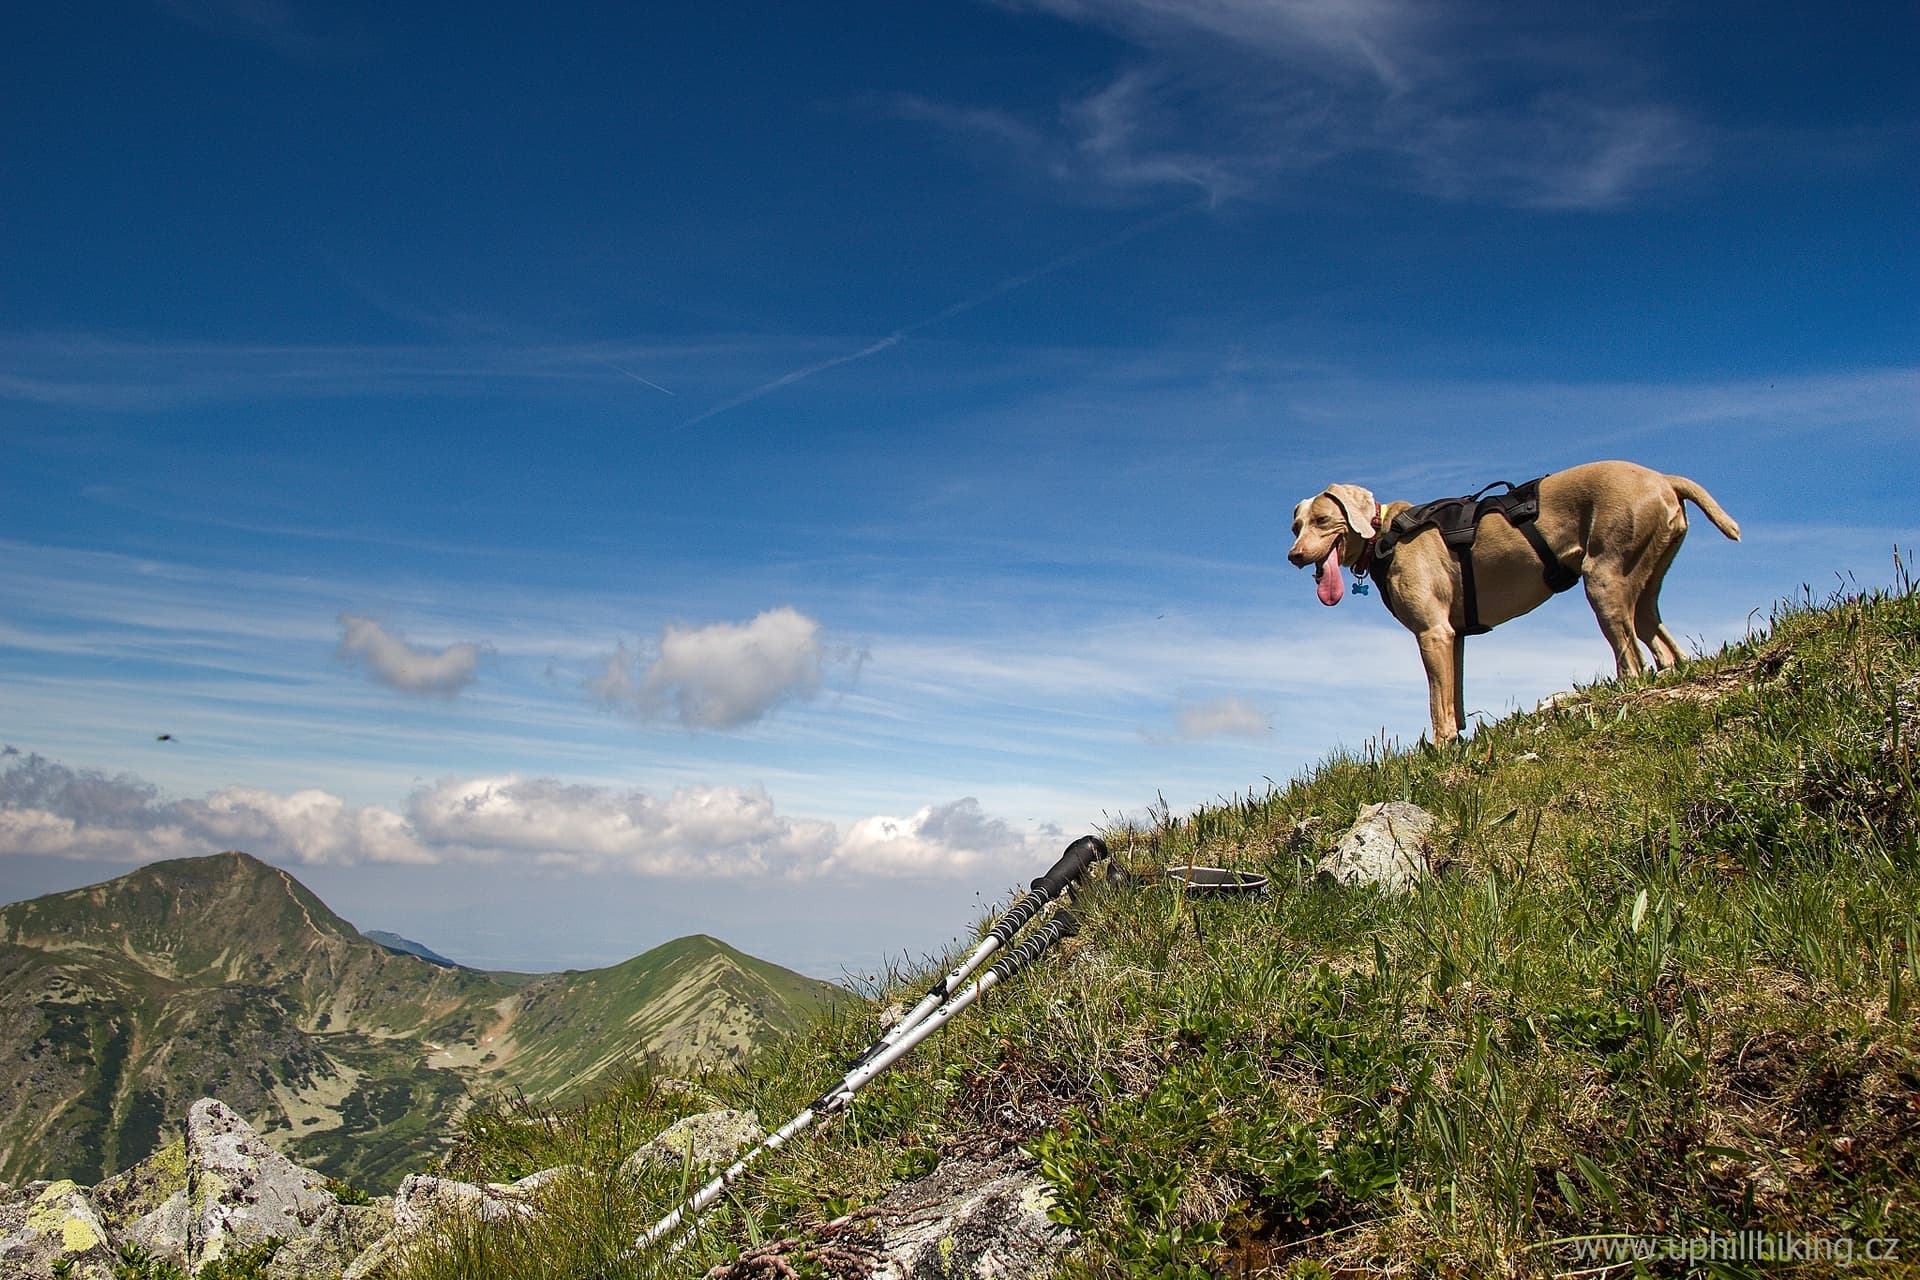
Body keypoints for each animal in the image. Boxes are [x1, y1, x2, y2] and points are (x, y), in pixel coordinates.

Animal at [1290, 460, 1743, 740]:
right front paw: (1457, 744)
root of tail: (1662, 477)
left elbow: (1437, 705)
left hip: (1603, 581)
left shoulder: (1432, 632)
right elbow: (1453, 699)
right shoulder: (1453, 636)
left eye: (1323, 520)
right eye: (1296, 526)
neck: (1384, 534)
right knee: (1664, 647)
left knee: (1631, 661)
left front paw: (1439, 748)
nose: (1293, 556)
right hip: (1644, 582)